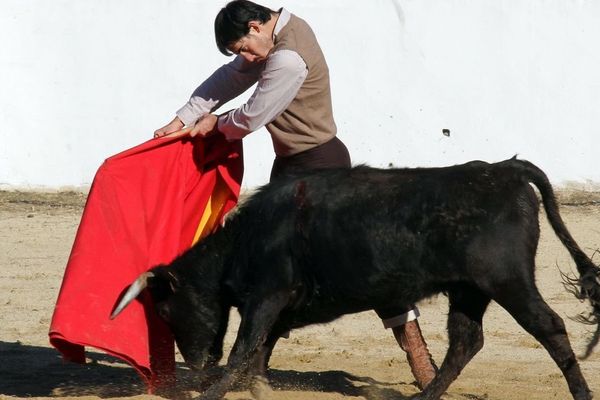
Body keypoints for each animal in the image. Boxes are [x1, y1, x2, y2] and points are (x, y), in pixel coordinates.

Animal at [112, 158, 600, 398]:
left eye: (165, 309)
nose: (196, 364)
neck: (250, 236)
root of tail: (505, 169)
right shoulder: (278, 303)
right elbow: (260, 349)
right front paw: (258, 387)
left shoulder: (268, 295)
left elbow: (244, 347)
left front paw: (214, 391)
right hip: (469, 290)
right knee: (466, 342)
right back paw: (424, 397)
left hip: (507, 280)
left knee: (549, 327)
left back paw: (579, 392)